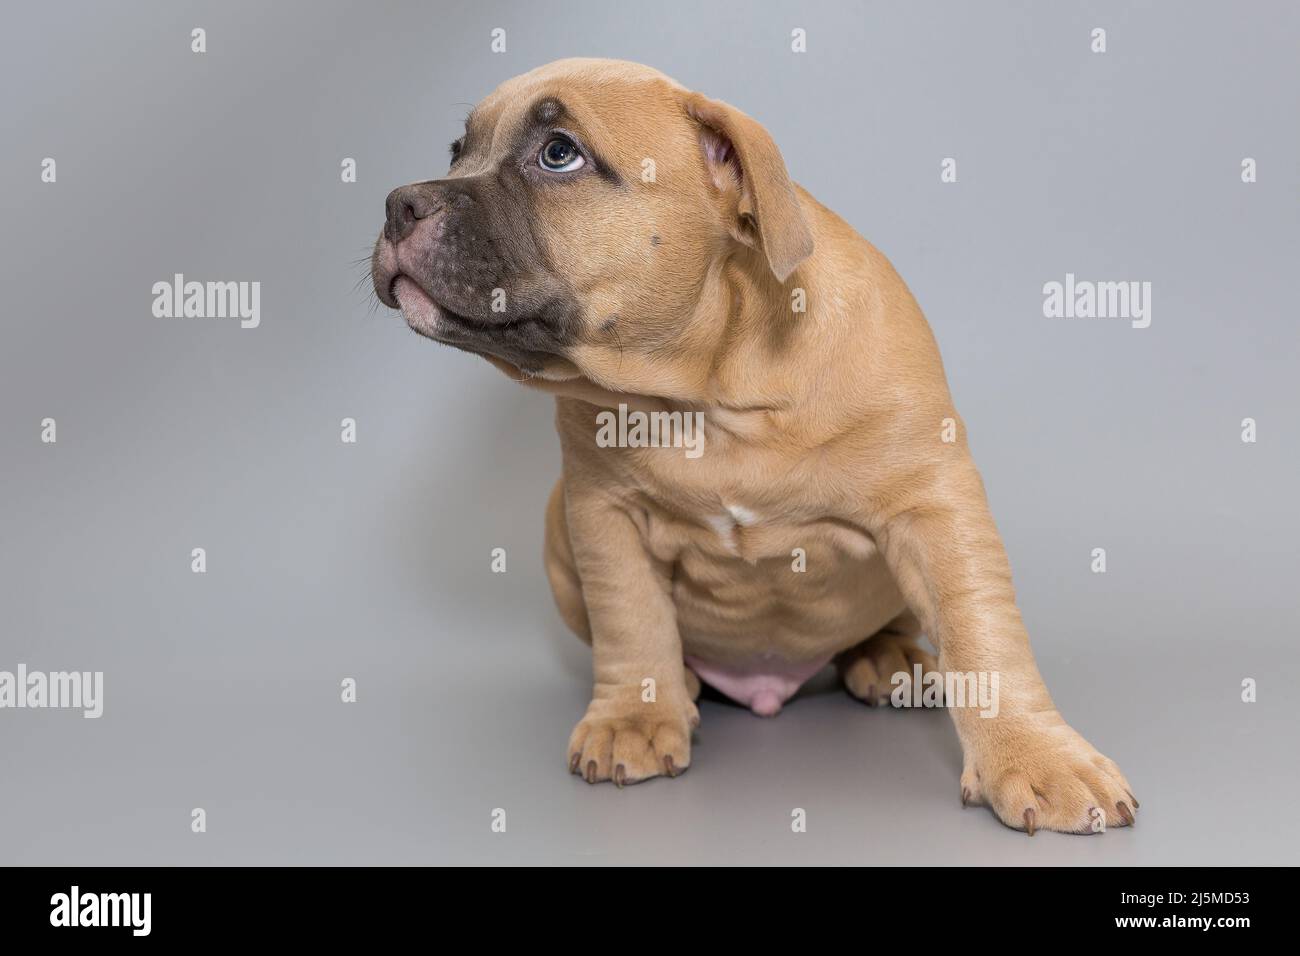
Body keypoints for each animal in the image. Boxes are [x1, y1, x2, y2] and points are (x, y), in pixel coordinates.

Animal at [369, 61, 1138, 837]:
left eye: (559, 154)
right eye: (457, 151)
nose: (399, 202)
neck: (707, 394)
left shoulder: (936, 503)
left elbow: (983, 631)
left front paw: (1038, 758)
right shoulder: (601, 512)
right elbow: (630, 617)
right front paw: (634, 716)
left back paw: (890, 657)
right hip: (558, 526)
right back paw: (682, 683)